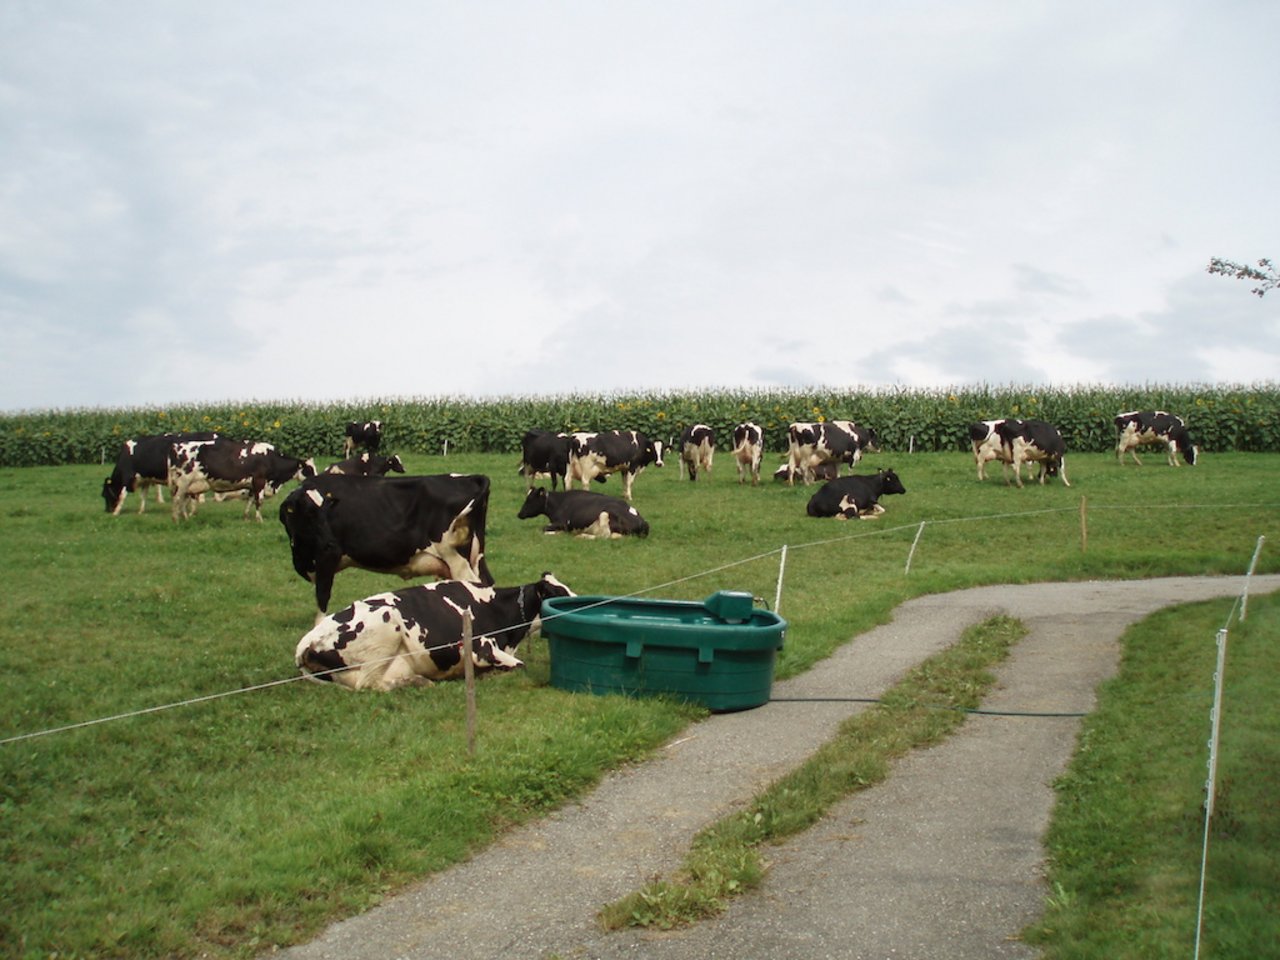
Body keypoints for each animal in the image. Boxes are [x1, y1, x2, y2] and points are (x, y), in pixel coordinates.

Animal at [167, 440, 314, 522]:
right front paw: (260, 520)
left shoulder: (252, 485)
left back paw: (185, 518)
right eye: (309, 469)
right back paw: (175, 519)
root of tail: (177, 446)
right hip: (183, 481)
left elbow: (250, 501)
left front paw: (246, 517)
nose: (316, 480)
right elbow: (259, 501)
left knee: (182, 500)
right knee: (177, 499)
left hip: (187, 485)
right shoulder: (259, 480)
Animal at [277, 473, 491, 616]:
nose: (331, 543)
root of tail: (467, 478)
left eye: (326, 511)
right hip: (476, 555)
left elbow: (322, 598)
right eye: (308, 512)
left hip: (456, 558)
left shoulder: (326, 558)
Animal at [294, 570, 576, 691]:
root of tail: (306, 641)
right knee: (368, 684)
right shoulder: (480, 648)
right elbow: (520, 666)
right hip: (385, 626)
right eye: (557, 592)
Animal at [514, 488, 650, 542]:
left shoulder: (562, 523)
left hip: (604, 514)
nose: (519, 514)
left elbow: (543, 528)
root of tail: (643, 522)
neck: (559, 502)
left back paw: (581, 536)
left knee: (604, 536)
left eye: (529, 499)